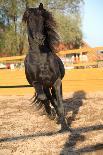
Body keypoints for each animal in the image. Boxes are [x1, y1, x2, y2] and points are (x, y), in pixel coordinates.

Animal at [22, 3, 68, 131]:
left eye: (43, 20)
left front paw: (64, 126)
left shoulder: (57, 81)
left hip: (49, 84)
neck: (41, 59)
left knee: (53, 97)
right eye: (30, 20)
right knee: (47, 97)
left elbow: (60, 104)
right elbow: (43, 98)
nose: (40, 38)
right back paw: (52, 113)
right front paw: (51, 114)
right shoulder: (36, 82)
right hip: (44, 85)